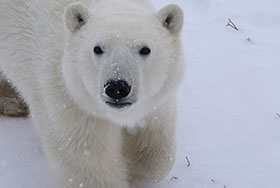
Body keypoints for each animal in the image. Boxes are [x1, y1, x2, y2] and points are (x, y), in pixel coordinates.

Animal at [0, 0, 184, 187]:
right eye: (97, 48)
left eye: (145, 49)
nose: (117, 87)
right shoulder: (67, 97)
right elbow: (86, 162)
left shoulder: (157, 103)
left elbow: (156, 151)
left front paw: (135, 173)